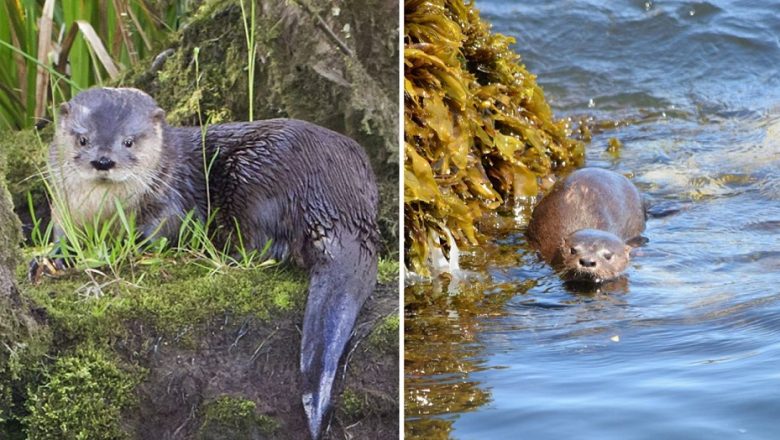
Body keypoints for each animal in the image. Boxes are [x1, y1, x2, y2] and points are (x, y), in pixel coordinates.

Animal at [42, 87, 378, 440]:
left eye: (129, 141)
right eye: (83, 139)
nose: (103, 161)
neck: (104, 212)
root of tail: (340, 203)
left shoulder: (172, 197)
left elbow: (161, 231)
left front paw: (119, 252)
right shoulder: (62, 207)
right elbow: (61, 238)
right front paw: (50, 262)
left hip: (254, 174)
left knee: (263, 247)